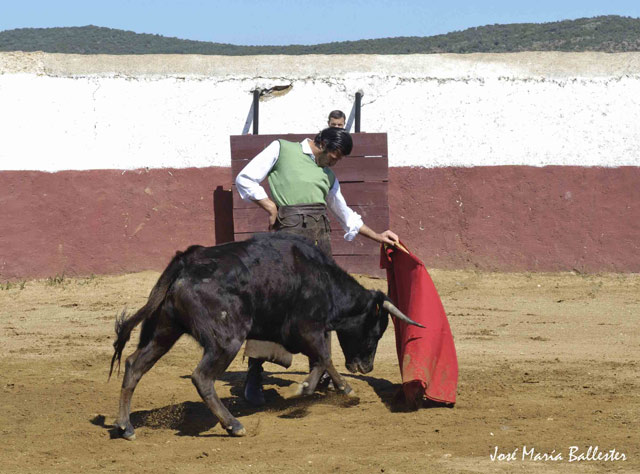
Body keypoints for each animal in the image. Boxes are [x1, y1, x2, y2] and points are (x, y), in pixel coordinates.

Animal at [108, 231, 422, 438]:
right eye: (376, 329)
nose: (366, 367)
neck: (323, 279)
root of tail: (186, 262)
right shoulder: (307, 328)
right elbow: (324, 357)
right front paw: (319, 388)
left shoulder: (306, 332)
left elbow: (323, 360)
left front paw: (327, 387)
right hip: (226, 340)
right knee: (201, 377)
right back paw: (233, 425)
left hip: (165, 330)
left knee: (134, 364)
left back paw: (126, 426)